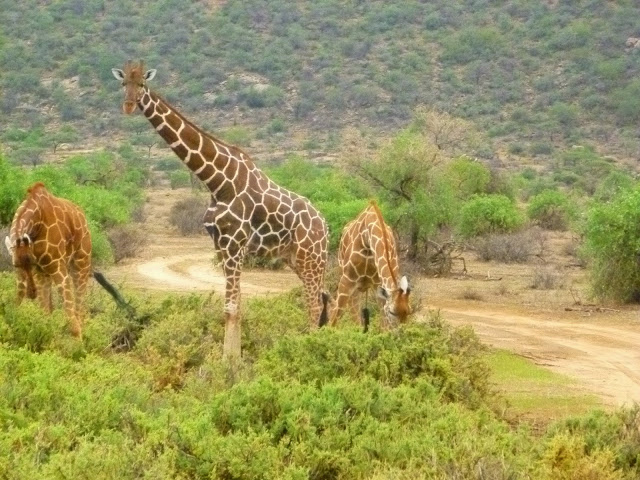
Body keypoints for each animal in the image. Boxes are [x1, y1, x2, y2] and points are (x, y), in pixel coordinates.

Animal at [4, 182, 92, 337]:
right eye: (15, 265)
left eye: (31, 262)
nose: (32, 293)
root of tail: (81, 214)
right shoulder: (38, 271)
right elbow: (42, 314)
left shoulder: (57, 266)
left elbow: (70, 317)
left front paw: (79, 342)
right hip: (46, 273)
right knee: (50, 309)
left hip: (82, 261)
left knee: (79, 307)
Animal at [112, 61, 329, 359]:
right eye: (124, 84)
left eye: (142, 83)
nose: (129, 105)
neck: (216, 182)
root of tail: (325, 225)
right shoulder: (220, 244)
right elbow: (232, 307)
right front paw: (230, 358)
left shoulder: (235, 243)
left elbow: (232, 308)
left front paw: (230, 363)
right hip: (296, 258)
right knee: (323, 300)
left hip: (311, 258)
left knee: (315, 304)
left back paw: (311, 349)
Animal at [326, 200, 411, 331]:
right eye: (392, 312)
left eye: (409, 312)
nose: (400, 333)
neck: (367, 239)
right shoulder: (347, 281)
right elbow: (333, 322)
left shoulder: (377, 285)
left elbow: (383, 327)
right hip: (352, 287)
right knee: (354, 317)